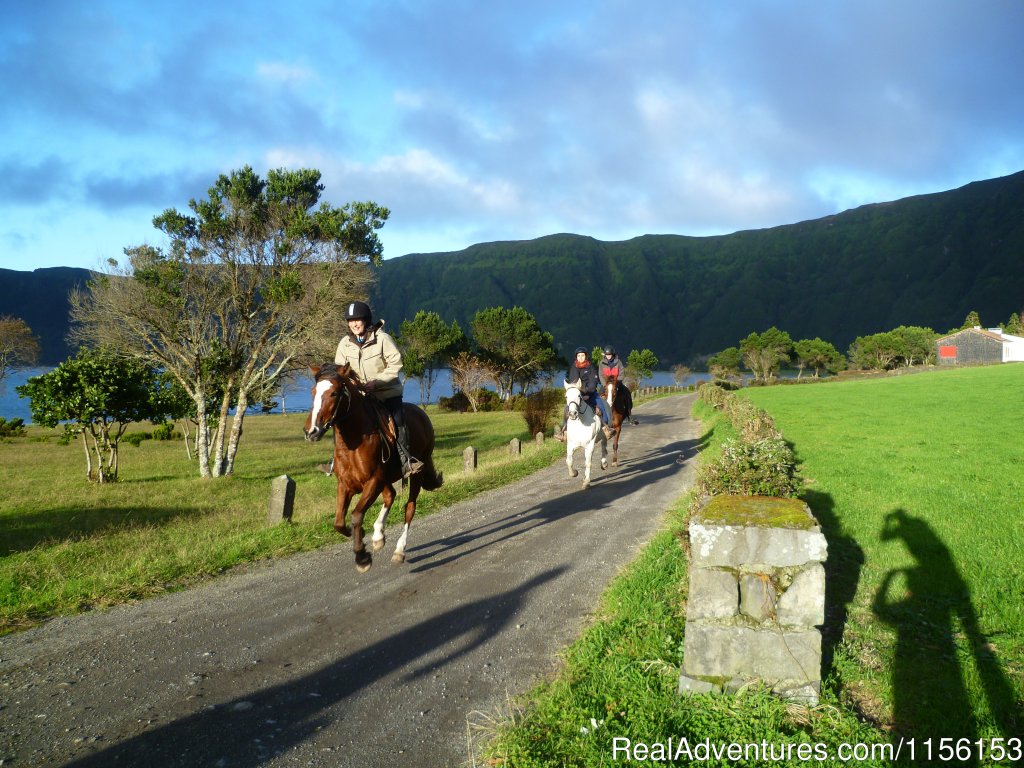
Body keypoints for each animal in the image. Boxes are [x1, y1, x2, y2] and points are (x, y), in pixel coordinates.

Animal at [305, 364, 446, 573]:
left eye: (334, 393)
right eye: (313, 391)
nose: (311, 431)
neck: (354, 443)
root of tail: (422, 414)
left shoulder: (373, 481)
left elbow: (356, 515)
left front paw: (362, 557)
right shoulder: (345, 485)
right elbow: (339, 522)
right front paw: (360, 535)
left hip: (415, 474)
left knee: (409, 507)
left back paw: (399, 551)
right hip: (386, 479)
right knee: (391, 495)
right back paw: (378, 535)